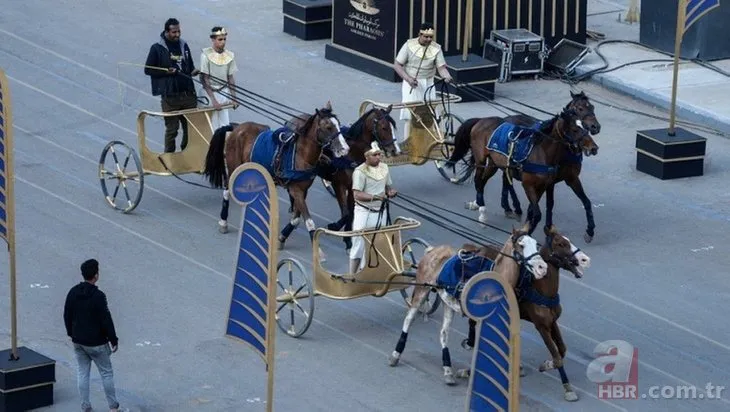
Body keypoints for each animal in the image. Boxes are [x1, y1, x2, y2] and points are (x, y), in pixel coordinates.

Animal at [199, 101, 346, 260]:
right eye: (328, 127)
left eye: (338, 124)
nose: (344, 148)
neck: (300, 154)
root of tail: (237, 127)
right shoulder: (296, 190)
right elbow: (309, 221)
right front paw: (317, 250)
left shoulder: (303, 190)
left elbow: (296, 219)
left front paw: (281, 238)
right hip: (234, 167)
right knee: (227, 191)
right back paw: (223, 222)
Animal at [386, 224, 544, 384]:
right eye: (521, 245)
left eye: (535, 243)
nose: (542, 267)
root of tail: (433, 250)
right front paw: (470, 371)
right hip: (422, 289)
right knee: (409, 319)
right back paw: (396, 354)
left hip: (447, 300)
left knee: (444, 333)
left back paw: (447, 368)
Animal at [446, 96, 596, 235]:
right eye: (575, 129)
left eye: (584, 126)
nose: (594, 147)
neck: (542, 152)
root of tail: (481, 120)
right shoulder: (528, 185)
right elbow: (537, 213)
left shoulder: (549, 183)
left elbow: (539, 209)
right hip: (481, 160)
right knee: (479, 181)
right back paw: (483, 212)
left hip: (494, 164)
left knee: (484, 182)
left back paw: (486, 204)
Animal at [460, 225, 592, 402]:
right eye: (560, 243)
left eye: (568, 240)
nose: (585, 259)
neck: (541, 289)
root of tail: (479, 248)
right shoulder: (541, 326)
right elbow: (557, 357)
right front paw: (567, 387)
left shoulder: (552, 322)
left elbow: (562, 350)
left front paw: (548, 365)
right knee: (473, 322)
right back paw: (470, 343)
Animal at [494, 91, 604, 241]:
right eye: (580, 108)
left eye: (592, 107)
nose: (595, 127)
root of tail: (507, 117)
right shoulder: (547, 182)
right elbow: (545, 205)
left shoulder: (569, 179)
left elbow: (583, 202)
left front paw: (589, 230)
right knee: (507, 180)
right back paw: (512, 207)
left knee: (506, 179)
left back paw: (510, 207)